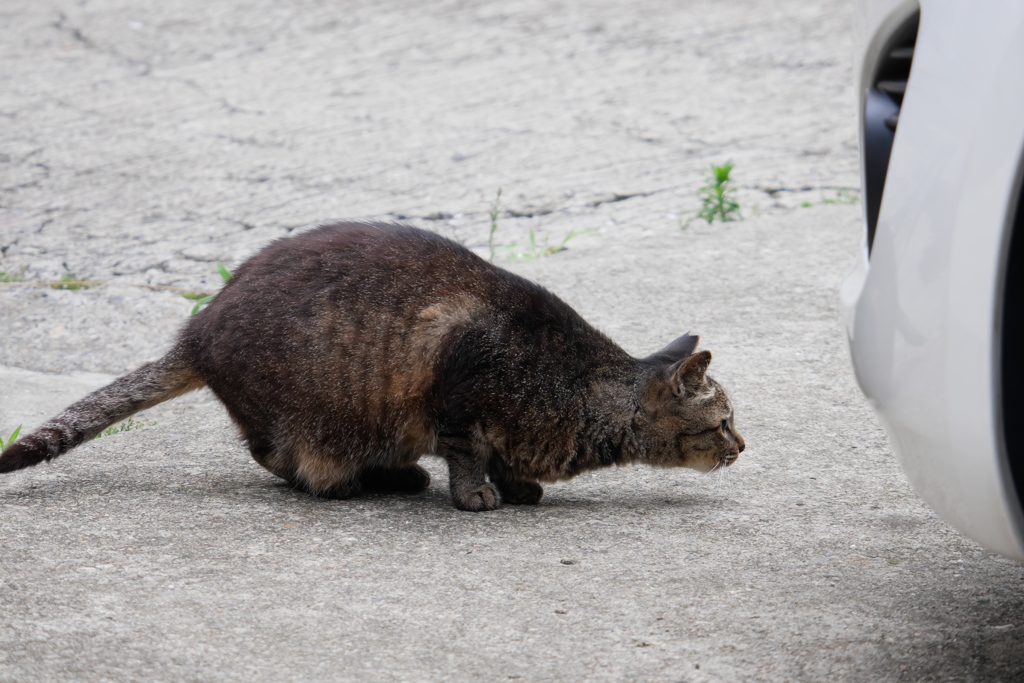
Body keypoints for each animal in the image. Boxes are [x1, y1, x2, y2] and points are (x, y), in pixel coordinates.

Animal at [0, 222, 745, 509]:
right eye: (724, 421)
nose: (743, 444)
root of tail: (199, 326)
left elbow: (502, 457)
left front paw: (515, 483)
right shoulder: (456, 385)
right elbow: (468, 452)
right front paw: (478, 491)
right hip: (312, 415)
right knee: (274, 454)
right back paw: (346, 480)